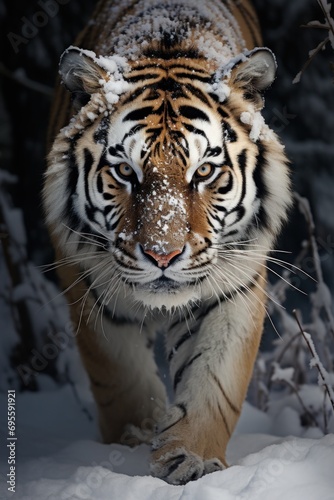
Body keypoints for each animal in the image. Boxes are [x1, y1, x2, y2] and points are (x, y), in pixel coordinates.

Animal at [43, 0, 290, 486]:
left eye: (204, 171)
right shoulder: (90, 289)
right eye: (125, 171)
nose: (163, 255)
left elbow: (213, 380)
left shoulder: (233, 286)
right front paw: (126, 451)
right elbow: (121, 384)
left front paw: (190, 459)